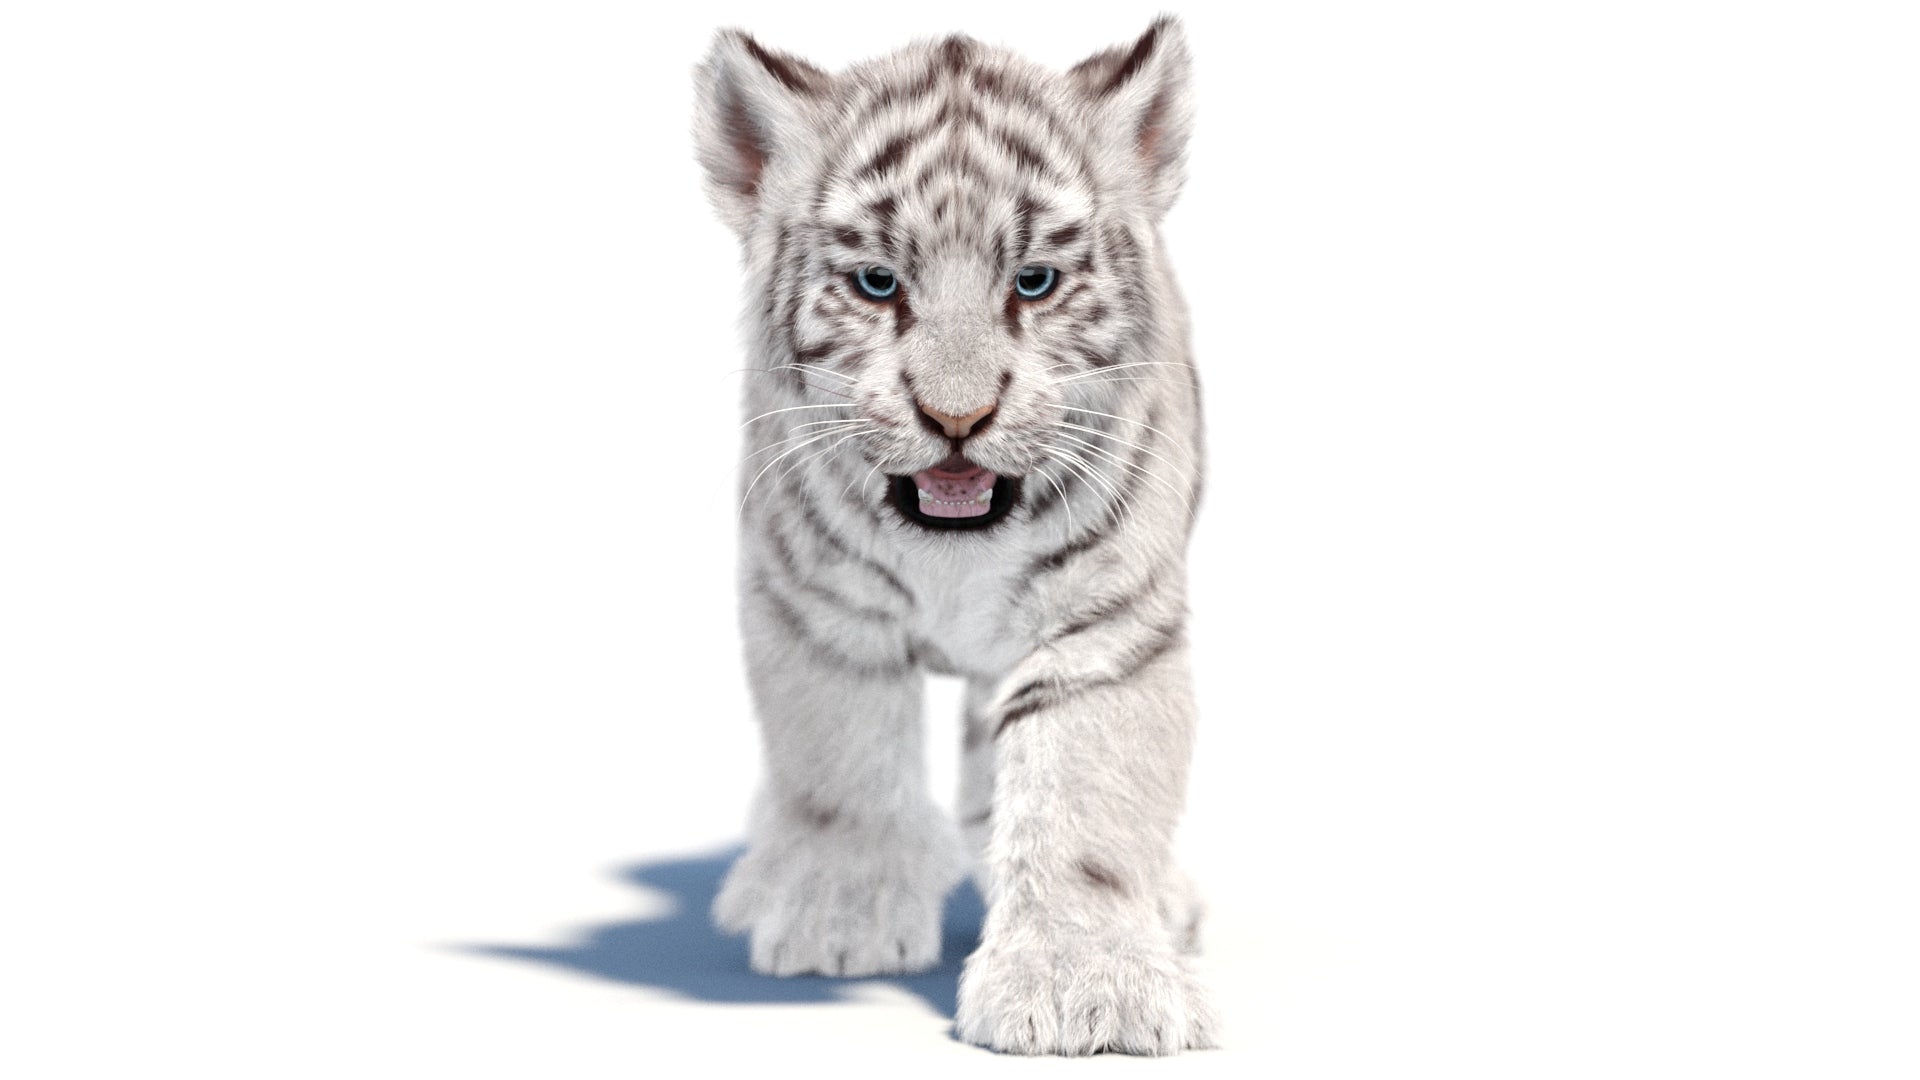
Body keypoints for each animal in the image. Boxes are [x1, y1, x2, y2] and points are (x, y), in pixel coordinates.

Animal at [691, 16, 1216, 1056]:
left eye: (1034, 283)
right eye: (878, 283)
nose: (957, 419)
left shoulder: (1103, 632)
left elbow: (1085, 798)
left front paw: (1084, 987)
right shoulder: (818, 612)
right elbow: (838, 761)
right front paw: (839, 918)